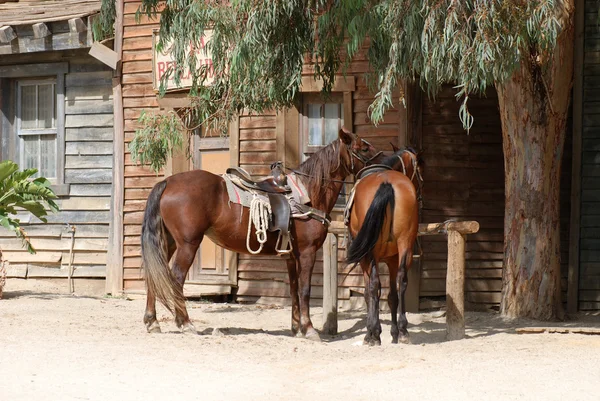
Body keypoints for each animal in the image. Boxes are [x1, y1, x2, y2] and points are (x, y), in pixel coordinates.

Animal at [141, 126, 382, 340]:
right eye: (363, 148)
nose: (382, 164)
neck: (308, 195)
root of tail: (168, 182)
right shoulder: (308, 252)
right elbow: (305, 289)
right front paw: (309, 329)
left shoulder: (291, 256)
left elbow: (294, 289)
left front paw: (296, 328)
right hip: (188, 244)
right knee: (176, 278)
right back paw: (185, 323)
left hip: (168, 242)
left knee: (155, 274)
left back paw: (152, 321)